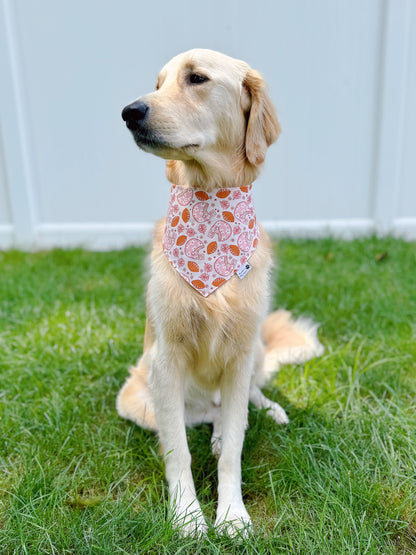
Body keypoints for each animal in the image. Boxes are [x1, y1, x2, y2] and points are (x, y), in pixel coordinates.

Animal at [115, 48, 324, 540]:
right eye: (158, 83)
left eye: (197, 78)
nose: (130, 112)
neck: (210, 205)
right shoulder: (166, 360)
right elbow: (177, 450)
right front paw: (189, 516)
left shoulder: (240, 353)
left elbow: (233, 451)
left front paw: (231, 514)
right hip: (135, 396)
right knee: (204, 419)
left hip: (254, 353)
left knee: (244, 404)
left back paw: (269, 411)